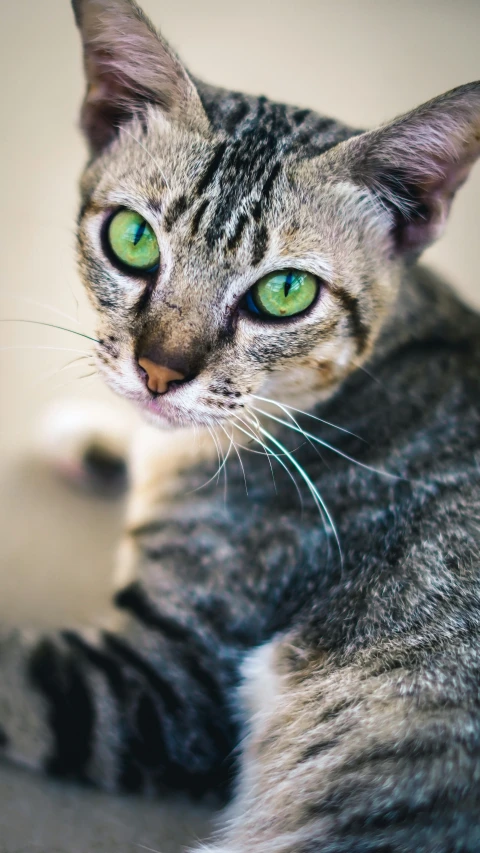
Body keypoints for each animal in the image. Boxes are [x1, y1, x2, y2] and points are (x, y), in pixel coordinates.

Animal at [0, 0, 480, 848]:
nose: (159, 371)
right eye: (132, 238)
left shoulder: (166, 683)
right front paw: (95, 434)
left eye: (285, 291)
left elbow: (15, 680)